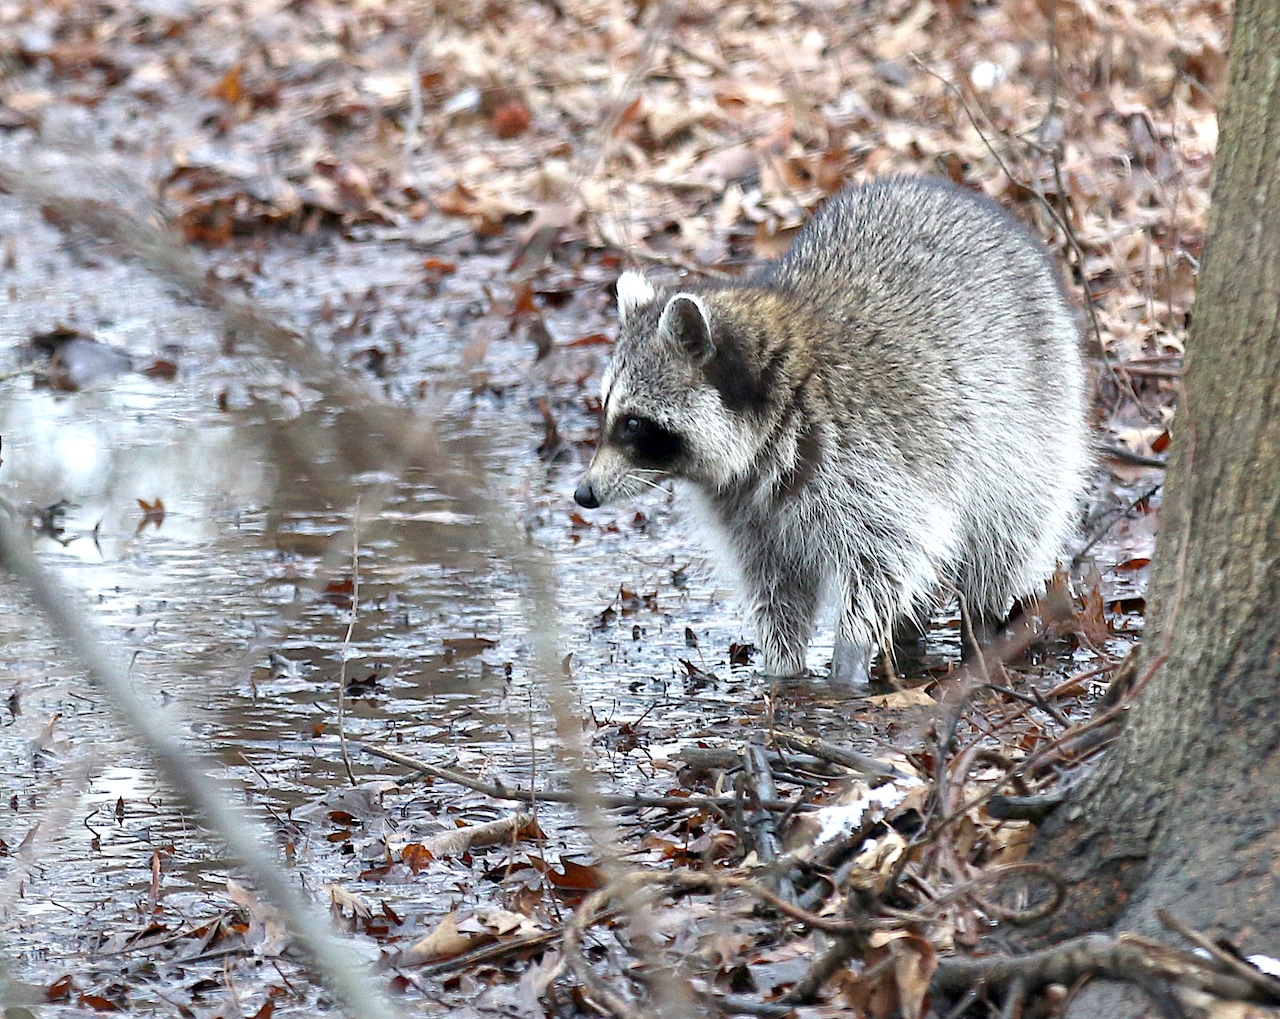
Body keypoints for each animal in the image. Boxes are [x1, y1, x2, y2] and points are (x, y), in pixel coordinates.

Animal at [574, 176, 1090, 685]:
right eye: (605, 413)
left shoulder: (864, 458)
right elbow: (778, 587)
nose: (584, 493)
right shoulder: (749, 511)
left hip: (1032, 424)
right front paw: (783, 672)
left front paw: (848, 658)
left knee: (1007, 534)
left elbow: (889, 557)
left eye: (634, 423)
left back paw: (979, 627)